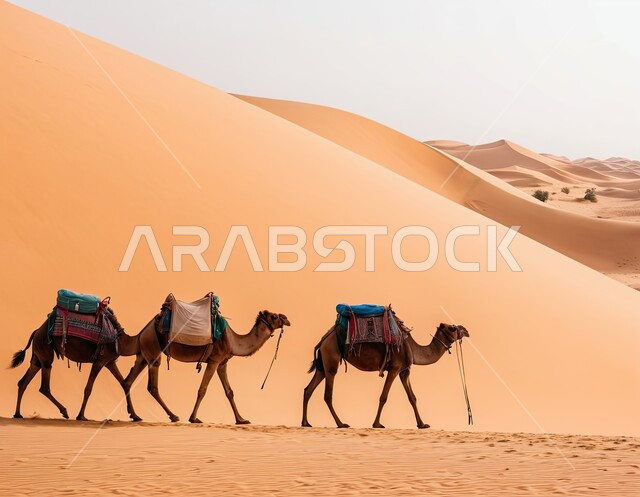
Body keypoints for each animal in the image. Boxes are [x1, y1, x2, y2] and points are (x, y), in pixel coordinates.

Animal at [10, 308, 142, 421]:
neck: (121, 341)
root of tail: (36, 331)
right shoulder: (100, 361)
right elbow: (88, 389)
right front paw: (81, 416)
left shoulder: (110, 362)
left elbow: (125, 383)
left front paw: (135, 415)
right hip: (45, 350)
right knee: (44, 386)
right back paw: (64, 411)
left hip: (37, 356)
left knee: (23, 381)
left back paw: (17, 414)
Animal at [123, 308, 291, 424]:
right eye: (274, 316)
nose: (287, 319)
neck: (233, 341)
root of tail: (142, 331)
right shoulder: (214, 360)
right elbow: (202, 390)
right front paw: (193, 418)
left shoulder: (222, 363)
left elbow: (229, 392)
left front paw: (241, 420)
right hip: (153, 349)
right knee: (153, 388)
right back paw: (174, 416)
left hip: (143, 354)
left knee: (128, 381)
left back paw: (135, 415)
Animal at [302, 322, 469, 429]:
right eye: (452, 328)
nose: (466, 330)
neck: (413, 349)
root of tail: (323, 340)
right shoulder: (394, 368)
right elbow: (383, 397)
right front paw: (377, 424)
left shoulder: (404, 371)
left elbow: (412, 398)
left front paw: (422, 424)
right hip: (331, 356)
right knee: (327, 394)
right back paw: (341, 424)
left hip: (323, 364)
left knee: (308, 389)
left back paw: (306, 423)